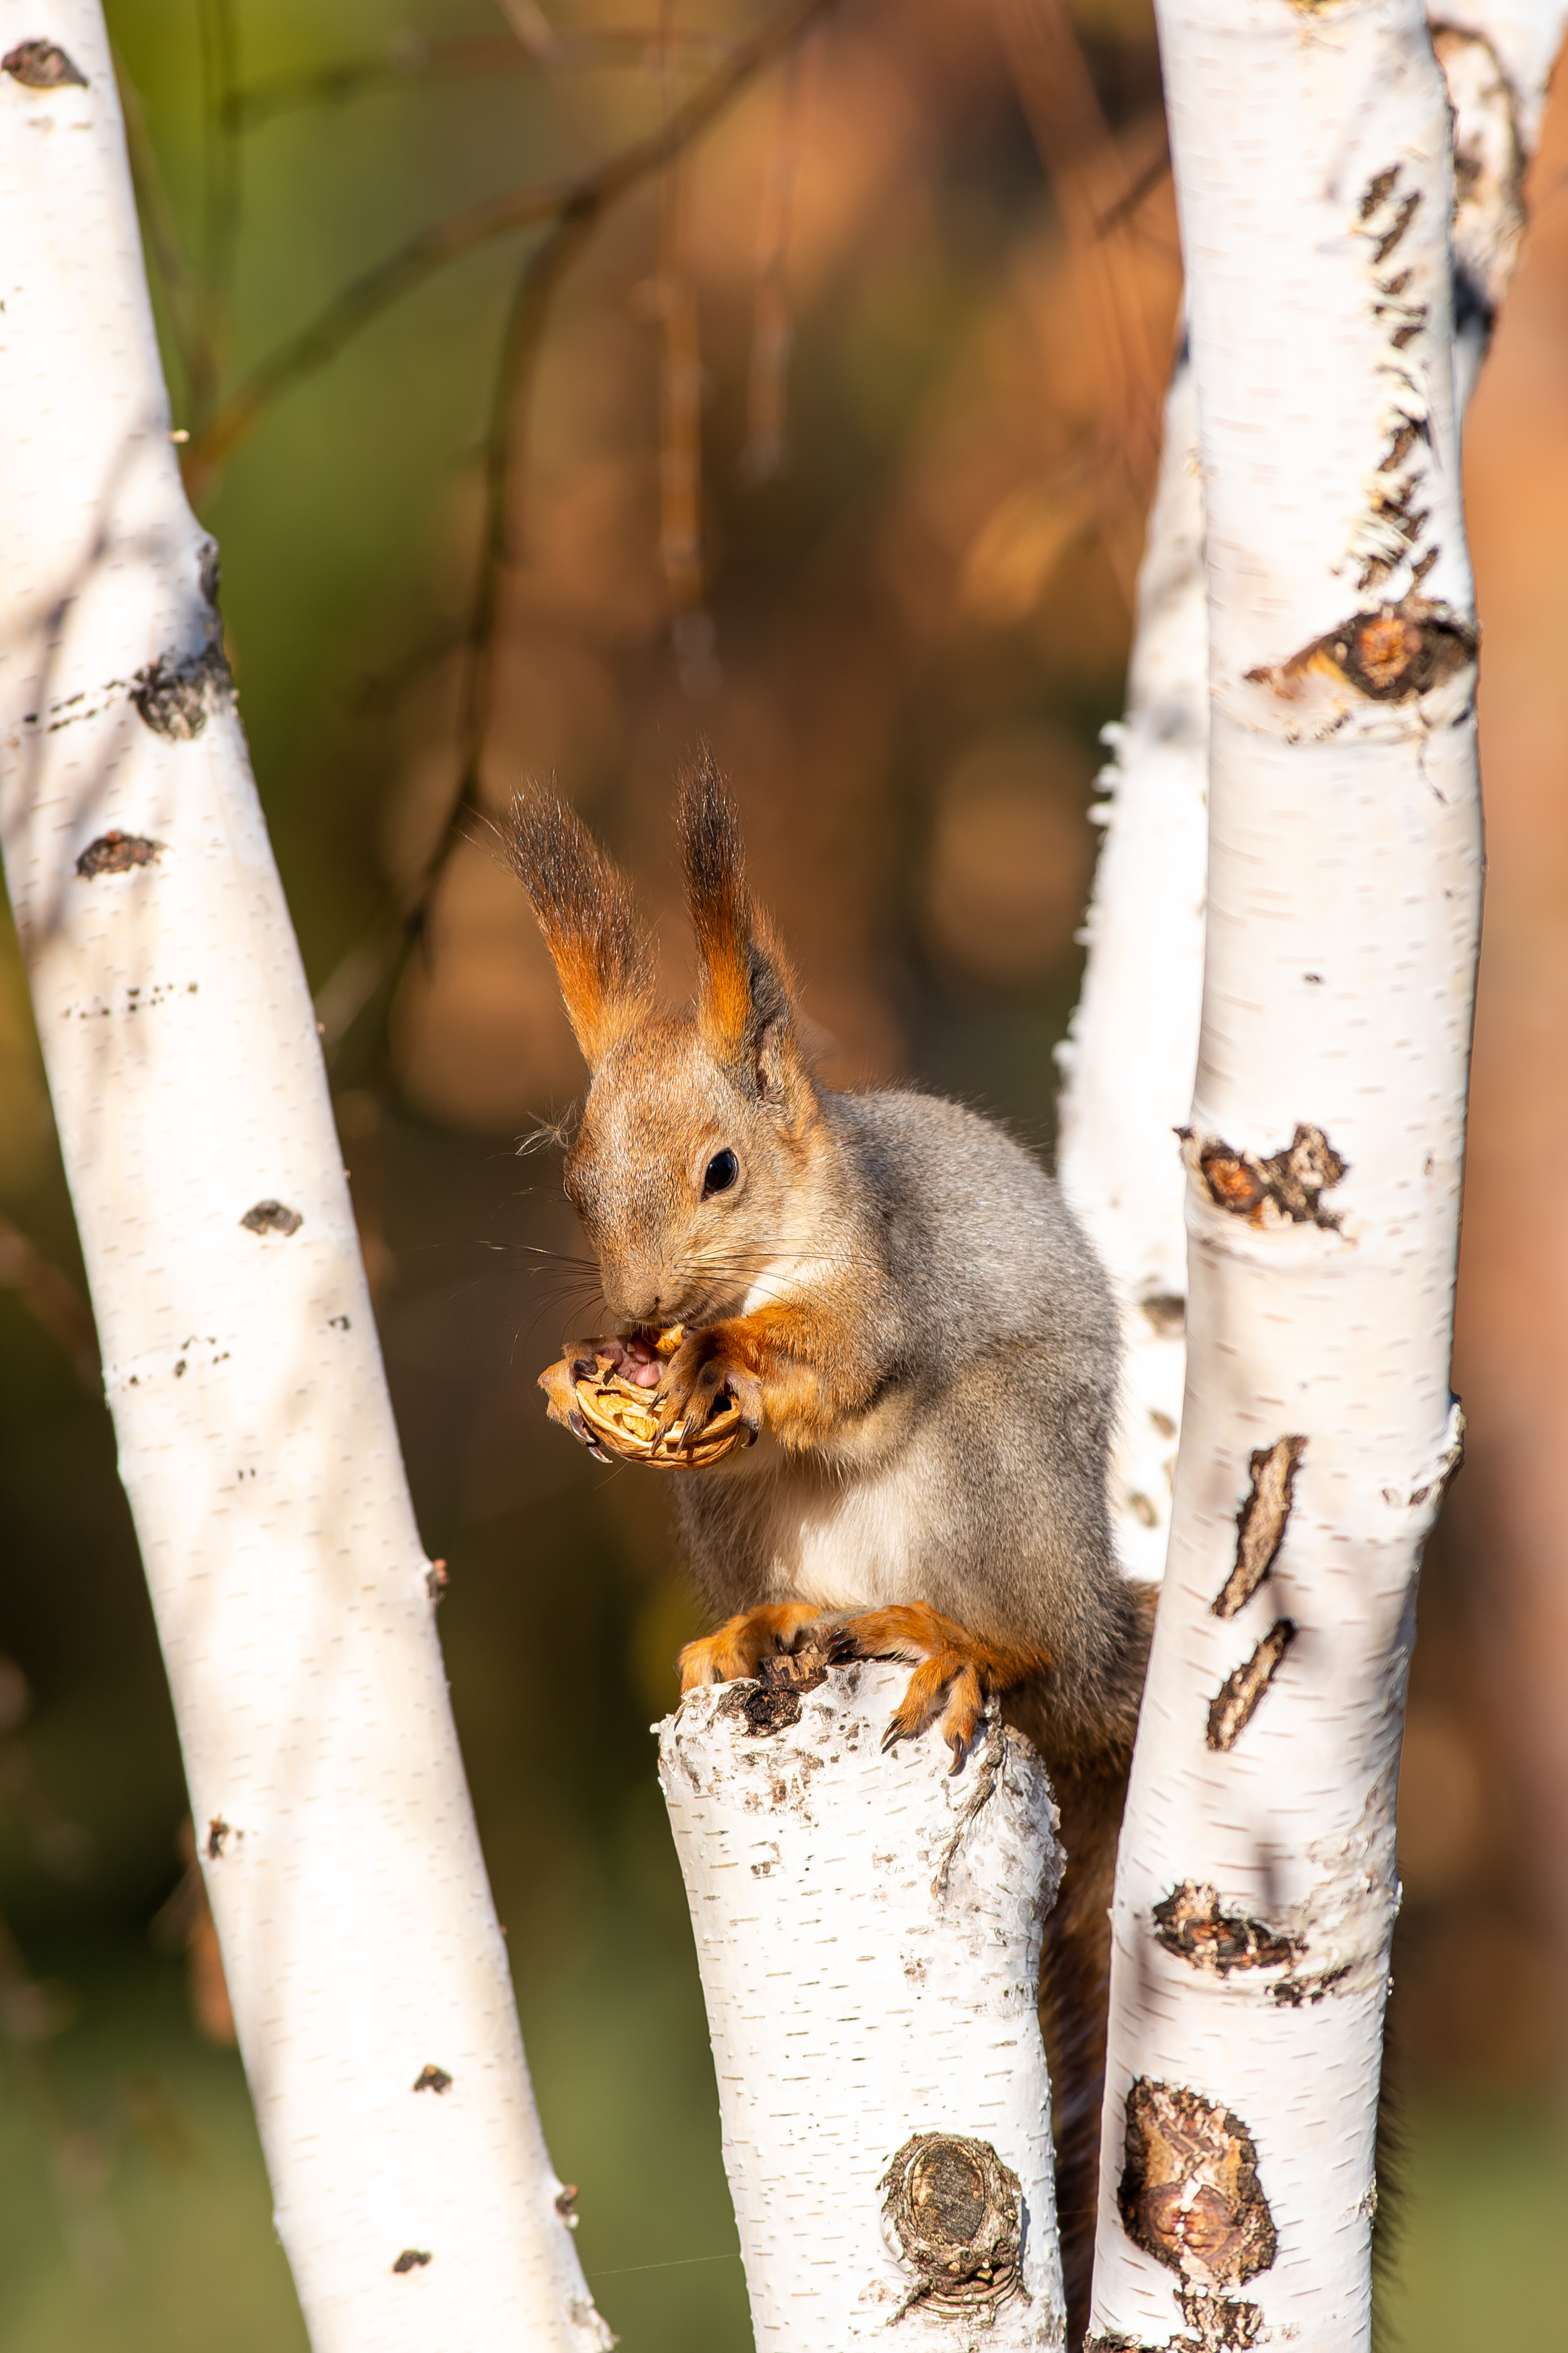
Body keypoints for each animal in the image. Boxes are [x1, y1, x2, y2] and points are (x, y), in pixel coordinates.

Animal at [510, 758, 1161, 2334]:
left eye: (721, 1169)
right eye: (575, 1192)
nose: (640, 1313)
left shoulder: (887, 1280)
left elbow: (836, 1362)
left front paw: (725, 1365)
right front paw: (576, 1383)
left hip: (1001, 1475)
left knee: (1025, 1649)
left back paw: (954, 1643)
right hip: (744, 1530)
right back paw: (760, 1630)